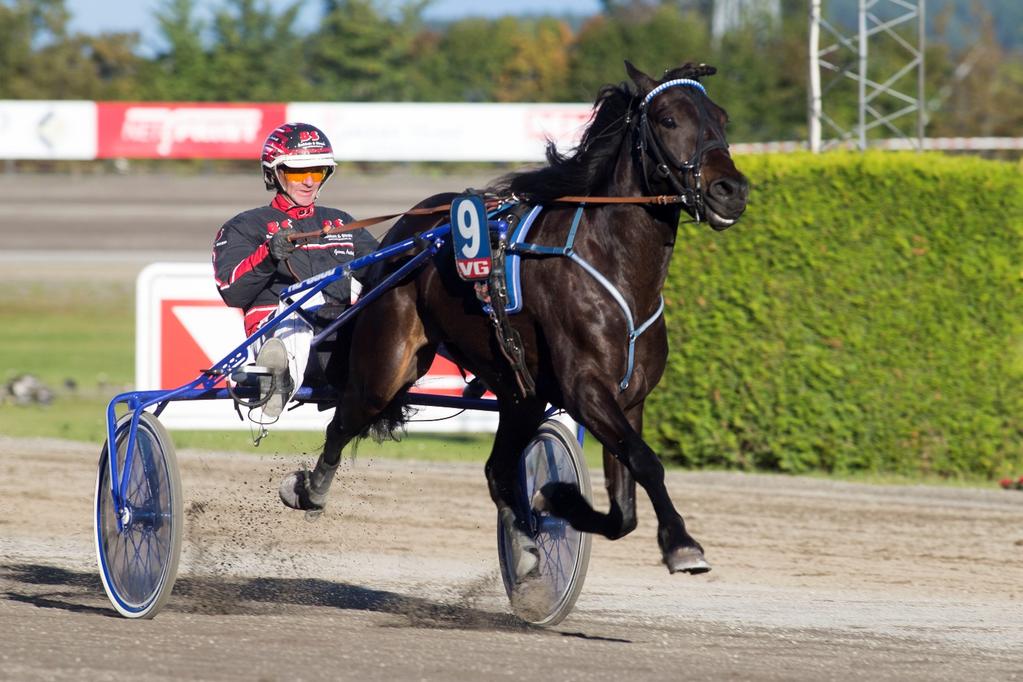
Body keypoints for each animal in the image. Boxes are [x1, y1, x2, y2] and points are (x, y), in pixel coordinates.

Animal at [280, 61, 752, 580]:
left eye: (722, 118)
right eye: (668, 120)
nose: (731, 190)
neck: (615, 264)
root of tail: (407, 230)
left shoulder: (629, 399)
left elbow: (623, 507)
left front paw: (559, 499)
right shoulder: (586, 389)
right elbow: (646, 462)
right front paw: (682, 544)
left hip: (519, 391)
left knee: (498, 470)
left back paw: (526, 540)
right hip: (386, 366)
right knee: (344, 421)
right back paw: (309, 490)